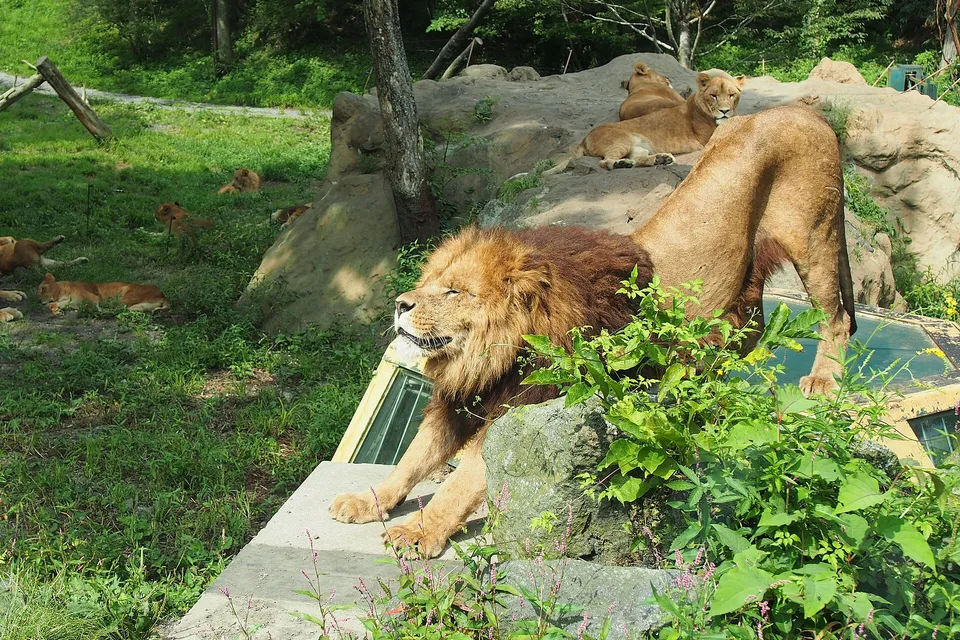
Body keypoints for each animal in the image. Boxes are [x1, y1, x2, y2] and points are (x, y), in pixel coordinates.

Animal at [37, 273, 170, 315]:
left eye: (42, 289)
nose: (38, 300)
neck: (61, 293)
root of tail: (162, 294)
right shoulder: (65, 302)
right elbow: (52, 305)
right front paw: (56, 311)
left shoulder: (94, 297)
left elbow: (93, 307)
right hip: (140, 307)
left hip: (124, 297)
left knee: (117, 310)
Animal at [329, 226, 654, 558]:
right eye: (428, 282)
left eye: (453, 291)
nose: (399, 304)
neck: (488, 363)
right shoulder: (454, 405)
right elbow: (412, 459)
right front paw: (368, 500)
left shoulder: (514, 417)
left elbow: (457, 486)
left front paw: (417, 532)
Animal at [545, 71, 745, 172]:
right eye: (713, 95)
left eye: (731, 95)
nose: (725, 111)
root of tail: (584, 138)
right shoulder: (706, 139)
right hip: (621, 141)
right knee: (605, 162)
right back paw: (622, 164)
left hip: (639, 147)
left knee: (638, 159)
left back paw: (661, 159)